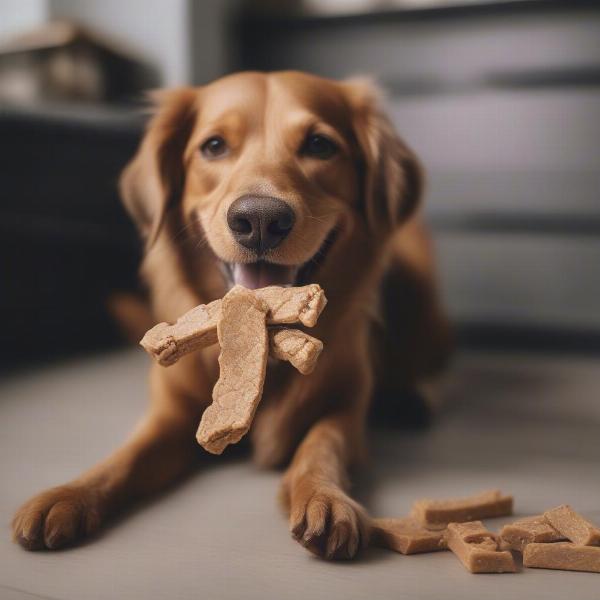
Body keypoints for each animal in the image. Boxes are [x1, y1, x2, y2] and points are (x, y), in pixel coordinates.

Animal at [11, 72, 450, 560]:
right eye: (214, 146)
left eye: (320, 145)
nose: (259, 220)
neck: (264, 355)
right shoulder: (170, 412)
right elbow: (126, 457)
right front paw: (69, 494)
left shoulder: (347, 406)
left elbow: (321, 446)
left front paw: (324, 496)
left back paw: (412, 398)